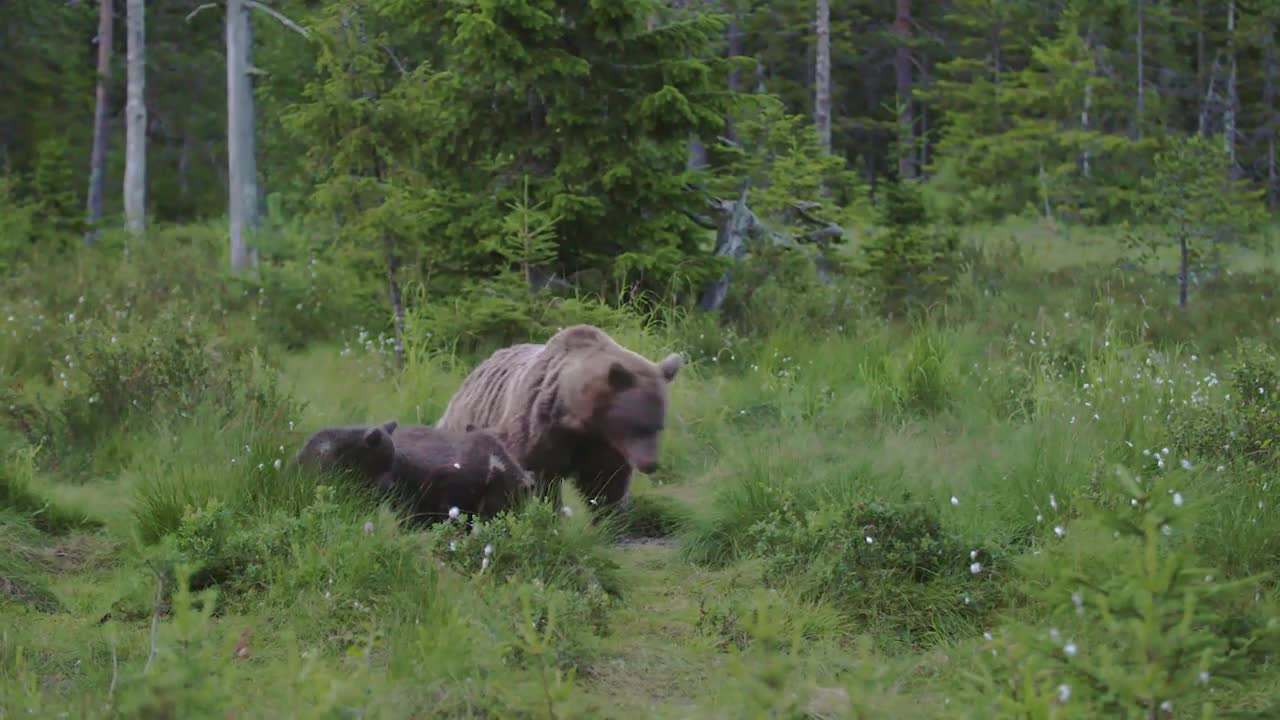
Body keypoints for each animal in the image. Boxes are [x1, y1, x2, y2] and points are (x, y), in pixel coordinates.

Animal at [435, 325, 686, 515]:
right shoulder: (539, 431)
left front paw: (611, 518)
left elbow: (606, 484)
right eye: (636, 427)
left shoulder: (603, 446)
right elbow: (540, 482)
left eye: (659, 426)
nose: (650, 464)